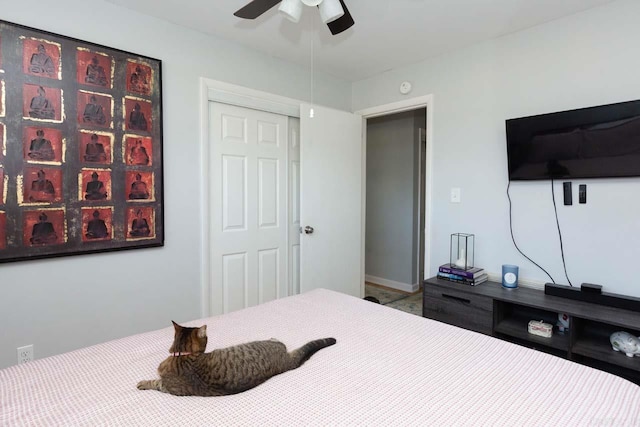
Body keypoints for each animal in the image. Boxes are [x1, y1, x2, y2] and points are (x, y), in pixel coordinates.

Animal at [138, 320, 338, 398]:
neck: (183, 355)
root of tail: (285, 363)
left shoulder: (168, 387)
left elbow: (155, 382)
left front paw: (142, 383)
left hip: (267, 343)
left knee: (279, 341)